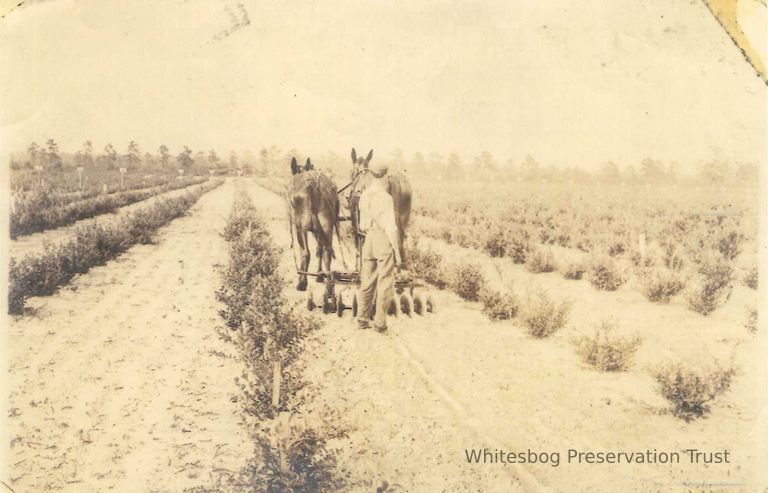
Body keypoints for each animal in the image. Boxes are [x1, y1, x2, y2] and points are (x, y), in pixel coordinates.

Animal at [286, 157, 340, 292]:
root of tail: (312, 187)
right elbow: (319, 249)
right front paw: (319, 275)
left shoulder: (300, 228)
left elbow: (304, 252)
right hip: (327, 227)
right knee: (327, 252)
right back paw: (328, 286)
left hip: (301, 229)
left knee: (306, 253)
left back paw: (302, 283)